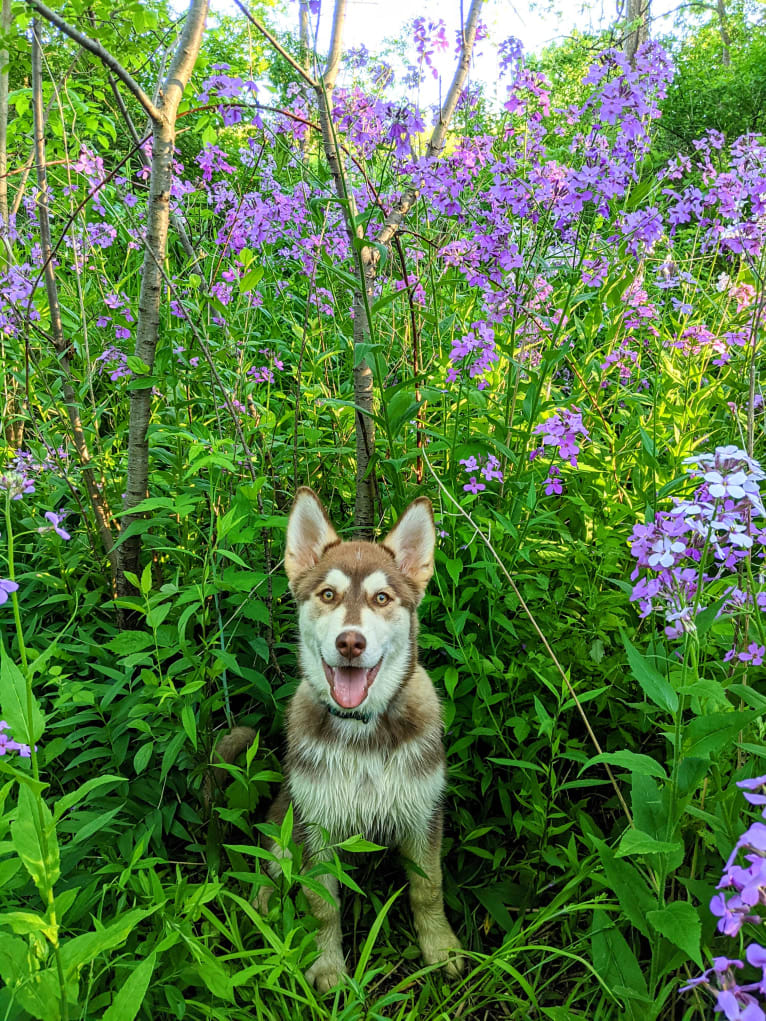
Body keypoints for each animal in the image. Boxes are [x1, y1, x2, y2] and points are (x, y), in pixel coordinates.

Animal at [256, 485, 461, 988]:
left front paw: (441, 948)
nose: (351, 642)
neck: (361, 734)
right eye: (328, 594)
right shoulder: (315, 824)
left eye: (382, 597)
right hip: (283, 819)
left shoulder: (422, 812)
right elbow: (321, 905)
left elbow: (428, 889)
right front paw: (327, 965)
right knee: (271, 871)